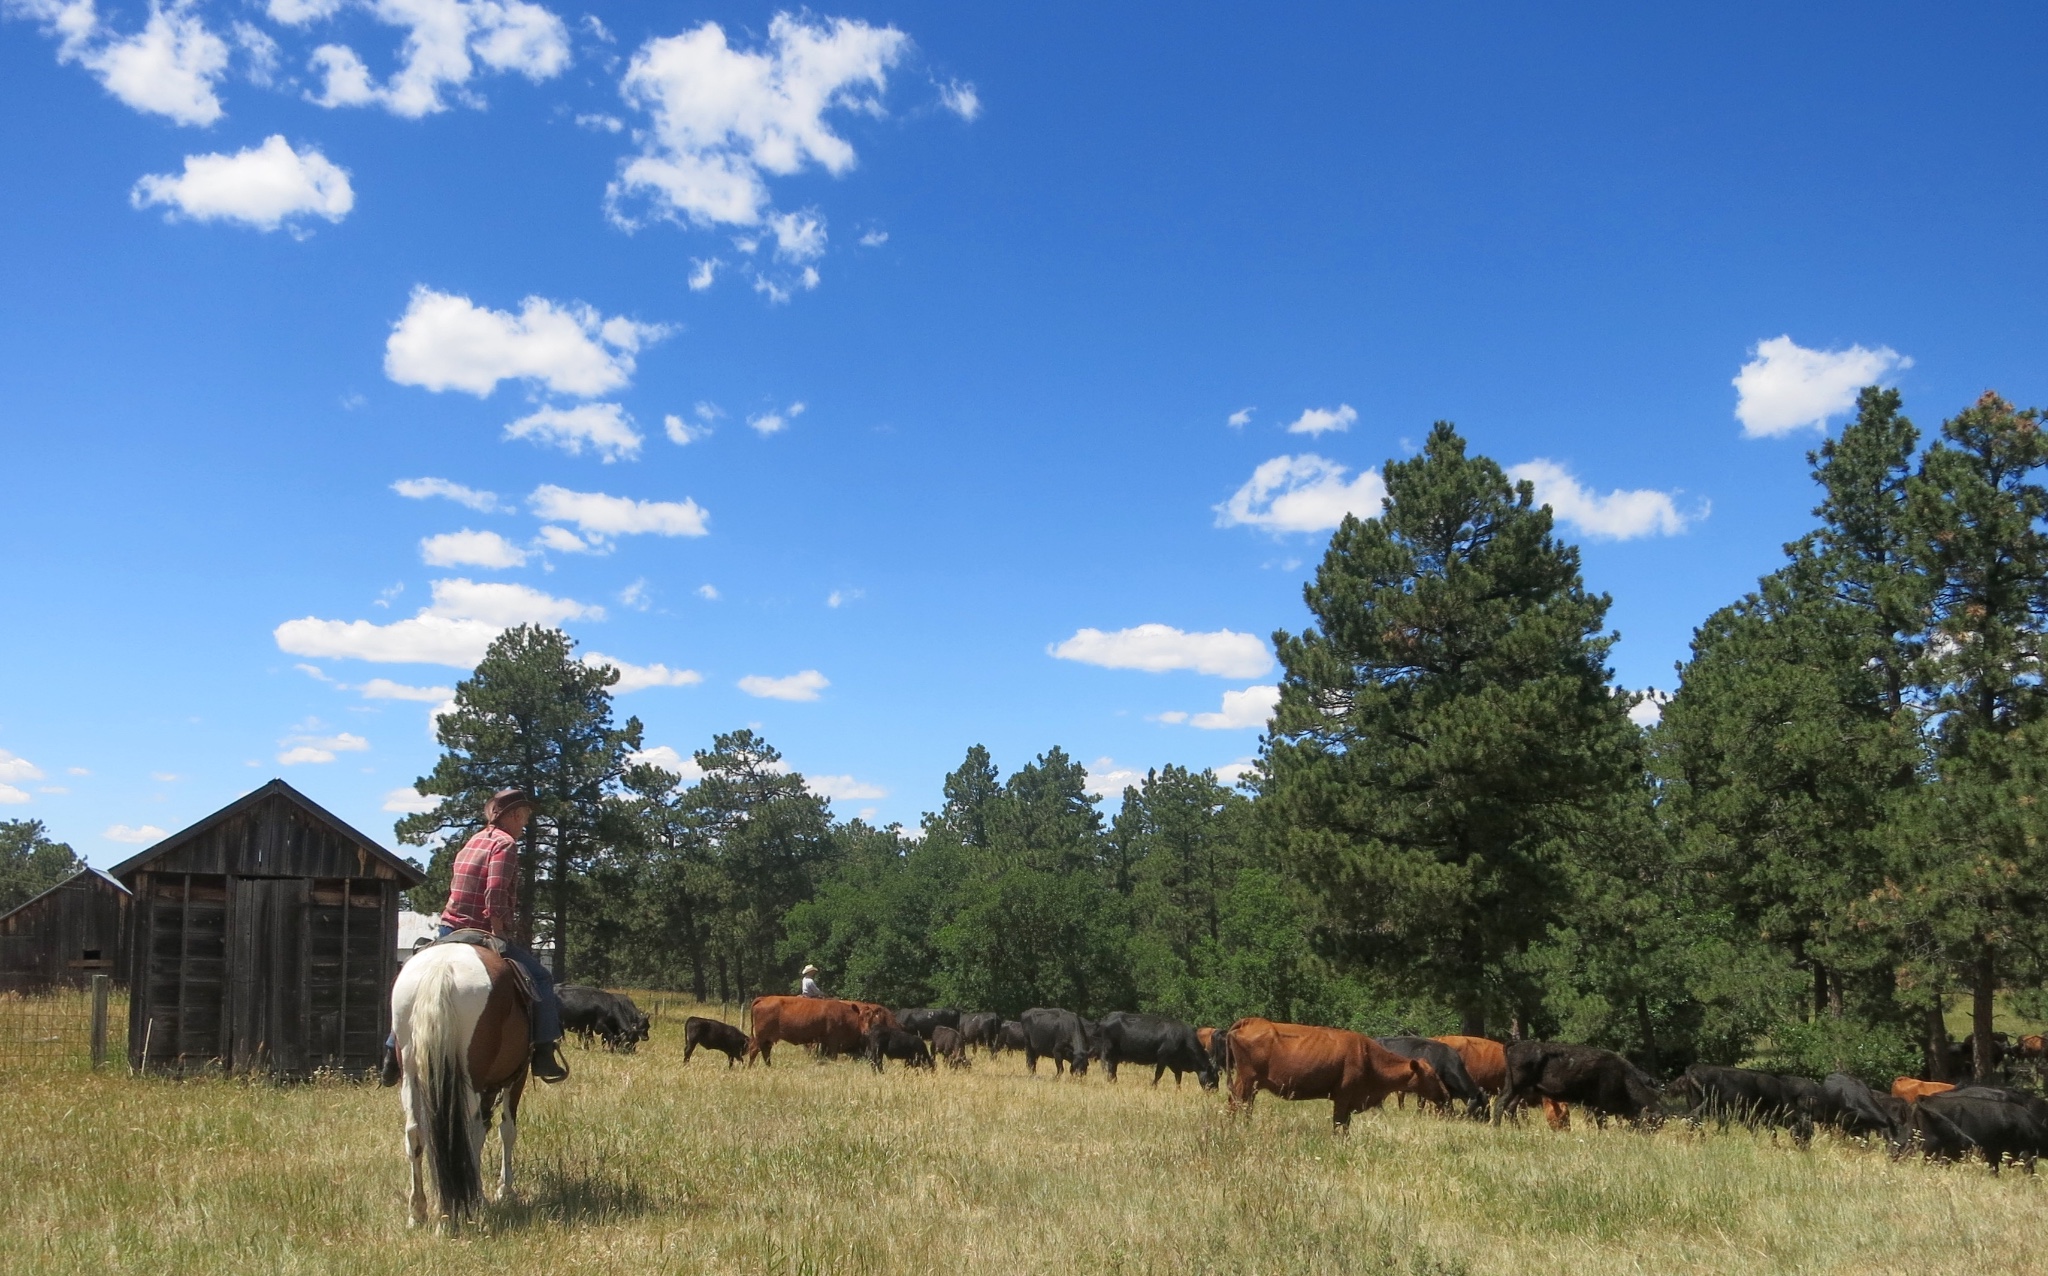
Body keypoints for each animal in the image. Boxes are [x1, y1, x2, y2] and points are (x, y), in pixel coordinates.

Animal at [390, 941, 531, 1230]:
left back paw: (418, 1212)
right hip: (473, 1080)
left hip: (410, 1074)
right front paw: (503, 1190)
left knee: (414, 1133)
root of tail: (442, 967)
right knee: (468, 1132)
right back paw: (464, 1207)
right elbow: (506, 1130)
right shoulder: (515, 1077)